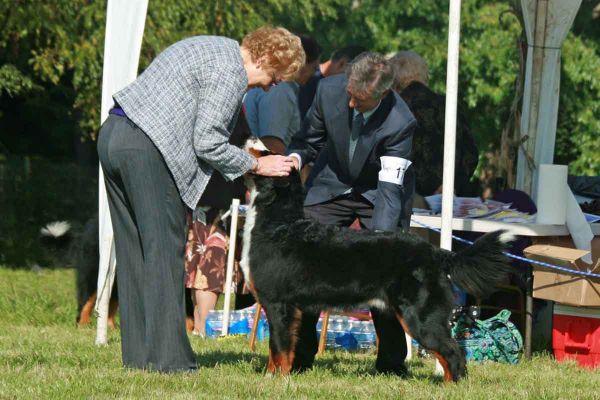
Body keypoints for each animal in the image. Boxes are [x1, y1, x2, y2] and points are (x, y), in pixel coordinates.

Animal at [241, 139, 512, 382]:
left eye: (267, 153)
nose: (252, 137)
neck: (279, 223)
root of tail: (436, 252)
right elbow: (279, 349)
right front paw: (275, 376)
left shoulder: (279, 305)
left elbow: (279, 348)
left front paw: (274, 379)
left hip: (420, 317)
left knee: (453, 353)